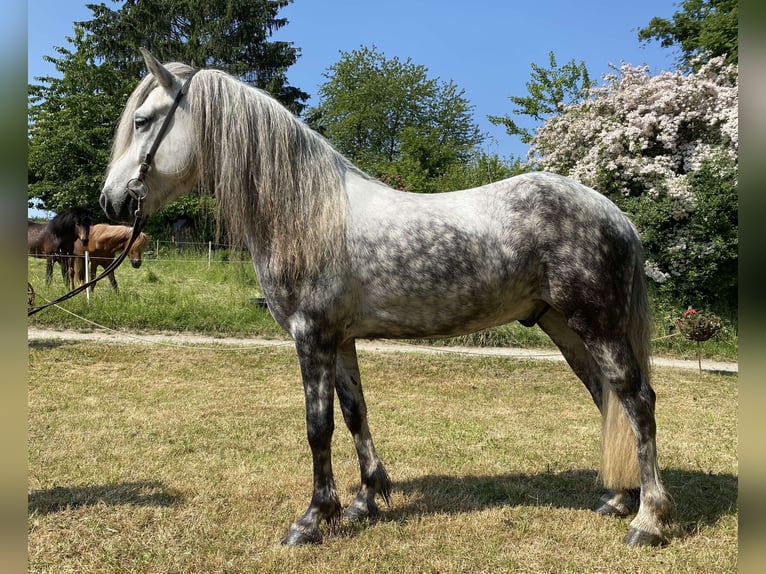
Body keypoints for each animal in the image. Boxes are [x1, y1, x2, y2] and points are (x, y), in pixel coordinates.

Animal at [100, 50, 672, 548]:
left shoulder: (312, 337)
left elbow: (318, 426)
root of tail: (615, 215)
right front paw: (365, 500)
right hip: (566, 328)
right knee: (608, 399)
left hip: (598, 326)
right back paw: (619, 499)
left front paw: (313, 518)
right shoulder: (340, 340)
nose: (110, 200)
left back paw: (648, 519)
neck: (307, 211)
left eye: (144, 121)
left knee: (638, 401)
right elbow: (356, 413)